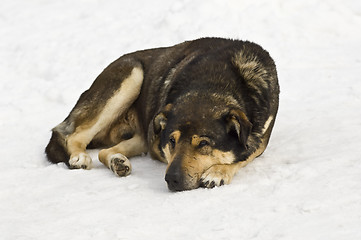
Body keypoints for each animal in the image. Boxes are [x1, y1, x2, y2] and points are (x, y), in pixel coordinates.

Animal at [45, 37, 280, 191]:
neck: (215, 84)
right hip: (132, 74)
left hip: (142, 131)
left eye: (204, 144)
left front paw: (217, 172)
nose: (172, 180)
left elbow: (244, 155)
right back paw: (79, 157)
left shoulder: (260, 138)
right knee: (72, 134)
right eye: (172, 141)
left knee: (105, 151)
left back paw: (117, 161)